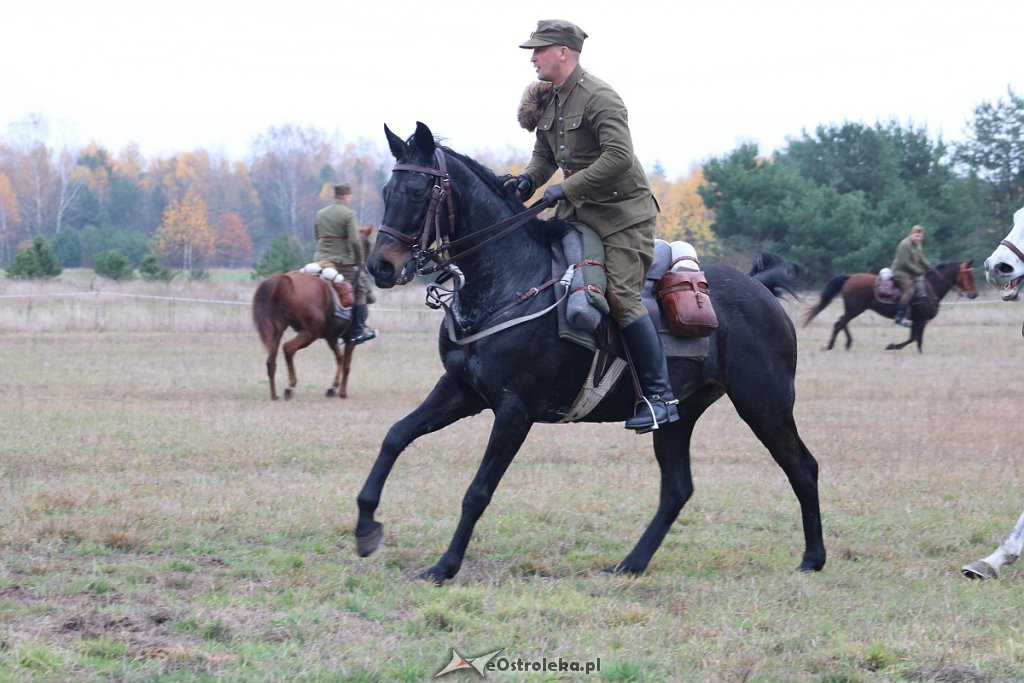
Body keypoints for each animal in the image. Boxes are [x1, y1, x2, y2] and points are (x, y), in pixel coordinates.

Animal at [251, 272, 356, 401]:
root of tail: (284, 281)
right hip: (310, 333)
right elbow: (346, 364)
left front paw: (333, 387)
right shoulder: (350, 340)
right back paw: (291, 385)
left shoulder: (331, 339)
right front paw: (341, 392)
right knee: (288, 348)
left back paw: (274, 395)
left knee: (271, 361)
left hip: (278, 332)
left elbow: (339, 358)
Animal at [356, 121, 827, 581]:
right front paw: (366, 526)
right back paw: (630, 564)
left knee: (803, 467)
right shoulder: (461, 392)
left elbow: (478, 491)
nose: (381, 266)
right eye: (387, 191)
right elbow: (395, 436)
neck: (509, 281)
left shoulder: (514, 411)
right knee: (677, 489)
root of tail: (761, 289)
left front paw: (446, 565)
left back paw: (813, 557)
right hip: (682, 417)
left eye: (419, 193)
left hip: (764, 405)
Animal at [798, 260, 974, 352]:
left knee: (841, 322)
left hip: (853, 309)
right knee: (840, 322)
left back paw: (846, 343)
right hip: (854, 309)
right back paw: (830, 346)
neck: (930, 287)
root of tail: (849, 277)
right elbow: (915, 338)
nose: (974, 294)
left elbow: (915, 339)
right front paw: (893, 346)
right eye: (970, 275)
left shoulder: (919, 320)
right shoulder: (921, 319)